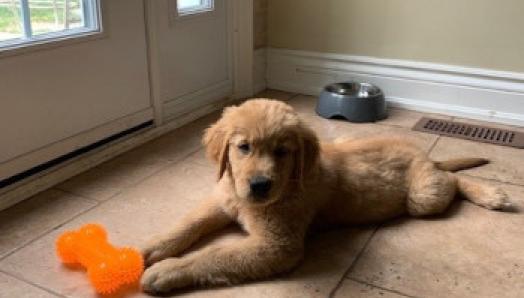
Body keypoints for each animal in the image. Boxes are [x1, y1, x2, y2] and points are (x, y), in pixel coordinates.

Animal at [141, 99, 510, 294]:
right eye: (243, 147)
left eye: (282, 151)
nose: (259, 185)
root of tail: (425, 154)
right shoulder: (223, 199)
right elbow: (189, 223)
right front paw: (151, 247)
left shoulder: (278, 245)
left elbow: (215, 255)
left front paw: (167, 271)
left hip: (422, 198)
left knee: (451, 179)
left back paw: (491, 194)